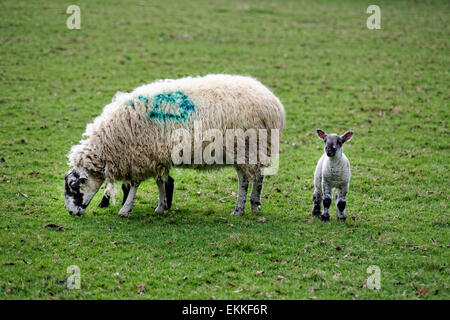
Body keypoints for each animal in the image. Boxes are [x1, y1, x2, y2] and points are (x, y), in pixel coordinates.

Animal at [63, 73, 284, 218]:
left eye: (74, 186)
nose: (71, 212)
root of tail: (274, 103)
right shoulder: (156, 156)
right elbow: (160, 181)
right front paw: (161, 206)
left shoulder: (139, 156)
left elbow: (135, 184)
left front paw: (125, 210)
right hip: (248, 149)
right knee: (254, 177)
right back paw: (252, 205)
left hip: (247, 146)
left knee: (248, 180)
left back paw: (242, 208)